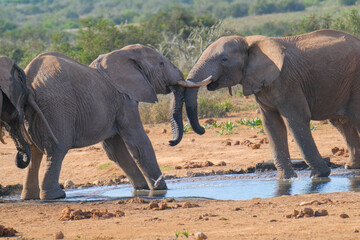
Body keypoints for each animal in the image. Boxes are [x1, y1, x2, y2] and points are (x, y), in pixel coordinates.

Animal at [20, 44, 211, 200]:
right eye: (161, 64)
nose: (171, 141)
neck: (122, 53)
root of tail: (30, 82)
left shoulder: (115, 105)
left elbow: (116, 150)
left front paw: (142, 189)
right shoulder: (125, 100)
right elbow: (138, 144)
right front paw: (160, 189)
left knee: (33, 152)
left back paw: (30, 197)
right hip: (57, 108)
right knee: (56, 149)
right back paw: (55, 196)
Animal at [184, 29, 360, 178]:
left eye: (224, 59)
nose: (202, 130)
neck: (247, 41)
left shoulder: (287, 82)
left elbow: (296, 120)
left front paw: (319, 176)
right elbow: (272, 124)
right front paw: (285, 179)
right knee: (340, 122)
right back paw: (351, 166)